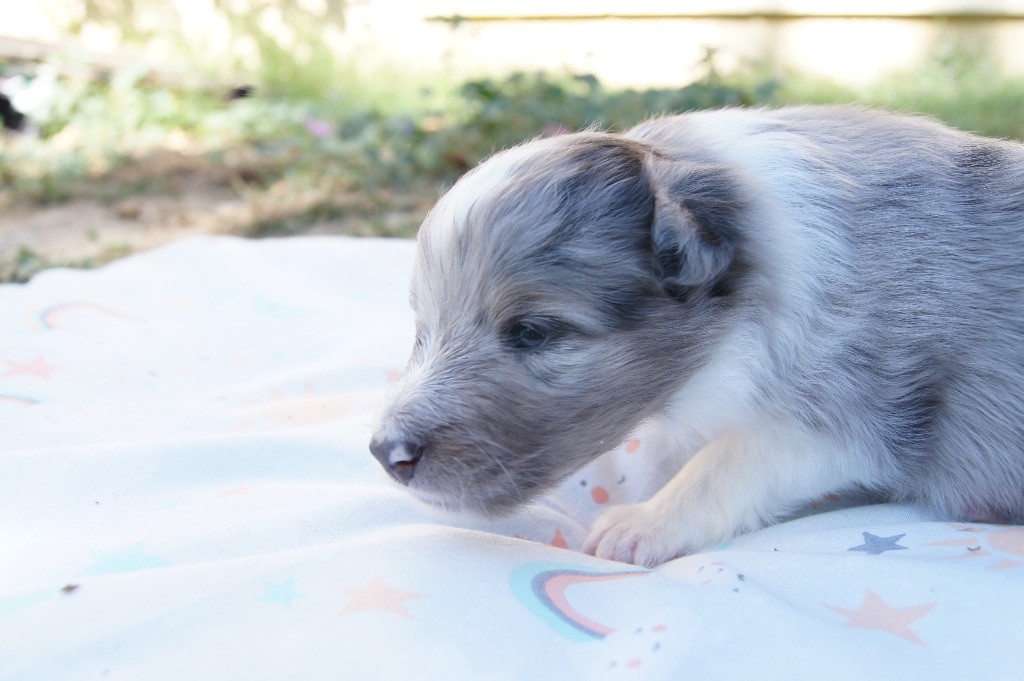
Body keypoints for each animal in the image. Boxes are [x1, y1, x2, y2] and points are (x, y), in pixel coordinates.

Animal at [372, 104, 1024, 561]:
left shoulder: (854, 406)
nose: (384, 454)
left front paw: (642, 522)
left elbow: (727, 460)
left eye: (534, 332)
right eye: (422, 330)